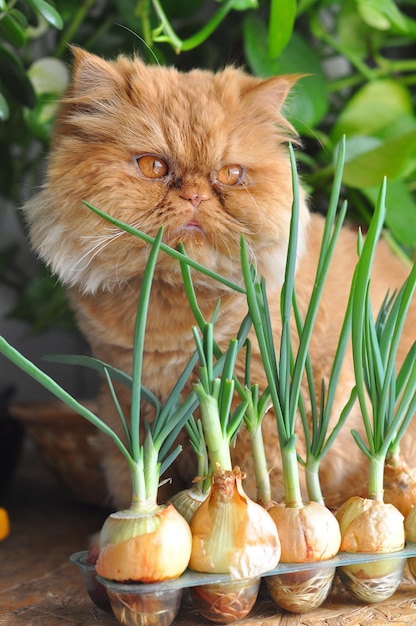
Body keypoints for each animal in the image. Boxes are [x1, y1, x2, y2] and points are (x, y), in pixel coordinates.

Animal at [23, 47, 416, 508]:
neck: (175, 305)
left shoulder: (272, 398)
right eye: (153, 166)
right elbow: (136, 474)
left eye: (230, 175)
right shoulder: (127, 396)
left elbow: (266, 467)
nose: (195, 195)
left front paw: (267, 510)